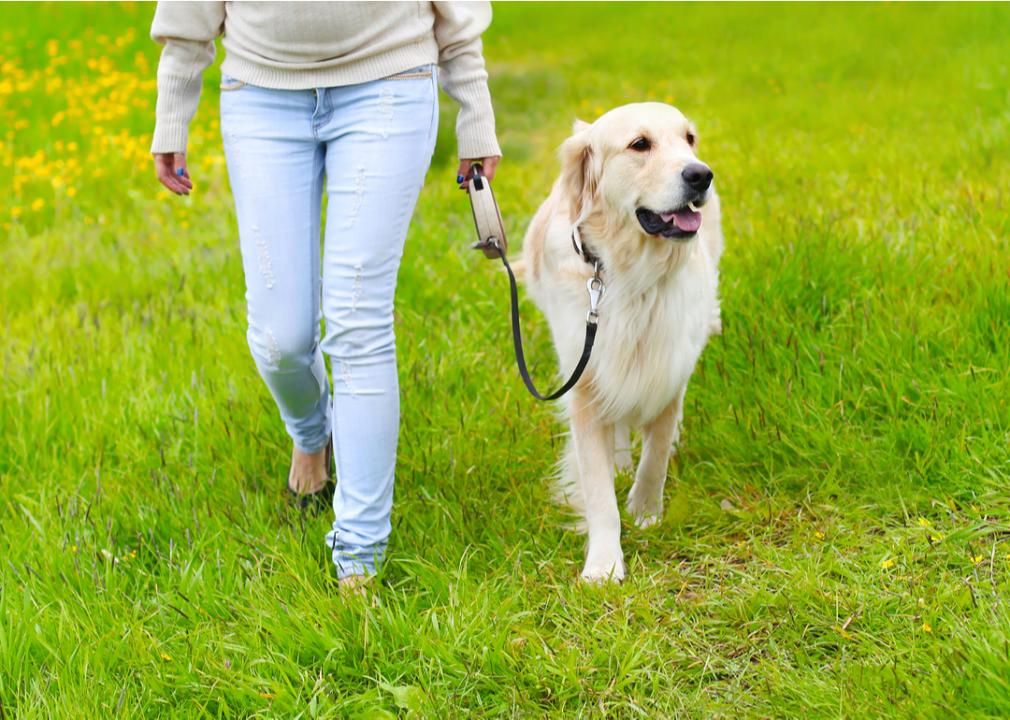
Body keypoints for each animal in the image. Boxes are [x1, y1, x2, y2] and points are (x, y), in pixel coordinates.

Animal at [517, 102, 723, 577]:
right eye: (639, 144)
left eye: (689, 139)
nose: (701, 174)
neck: (634, 277)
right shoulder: (586, 381)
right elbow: (598, 492)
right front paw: (604, 565)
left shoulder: (668, 369)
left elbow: (657, 454)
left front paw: (646, 513)